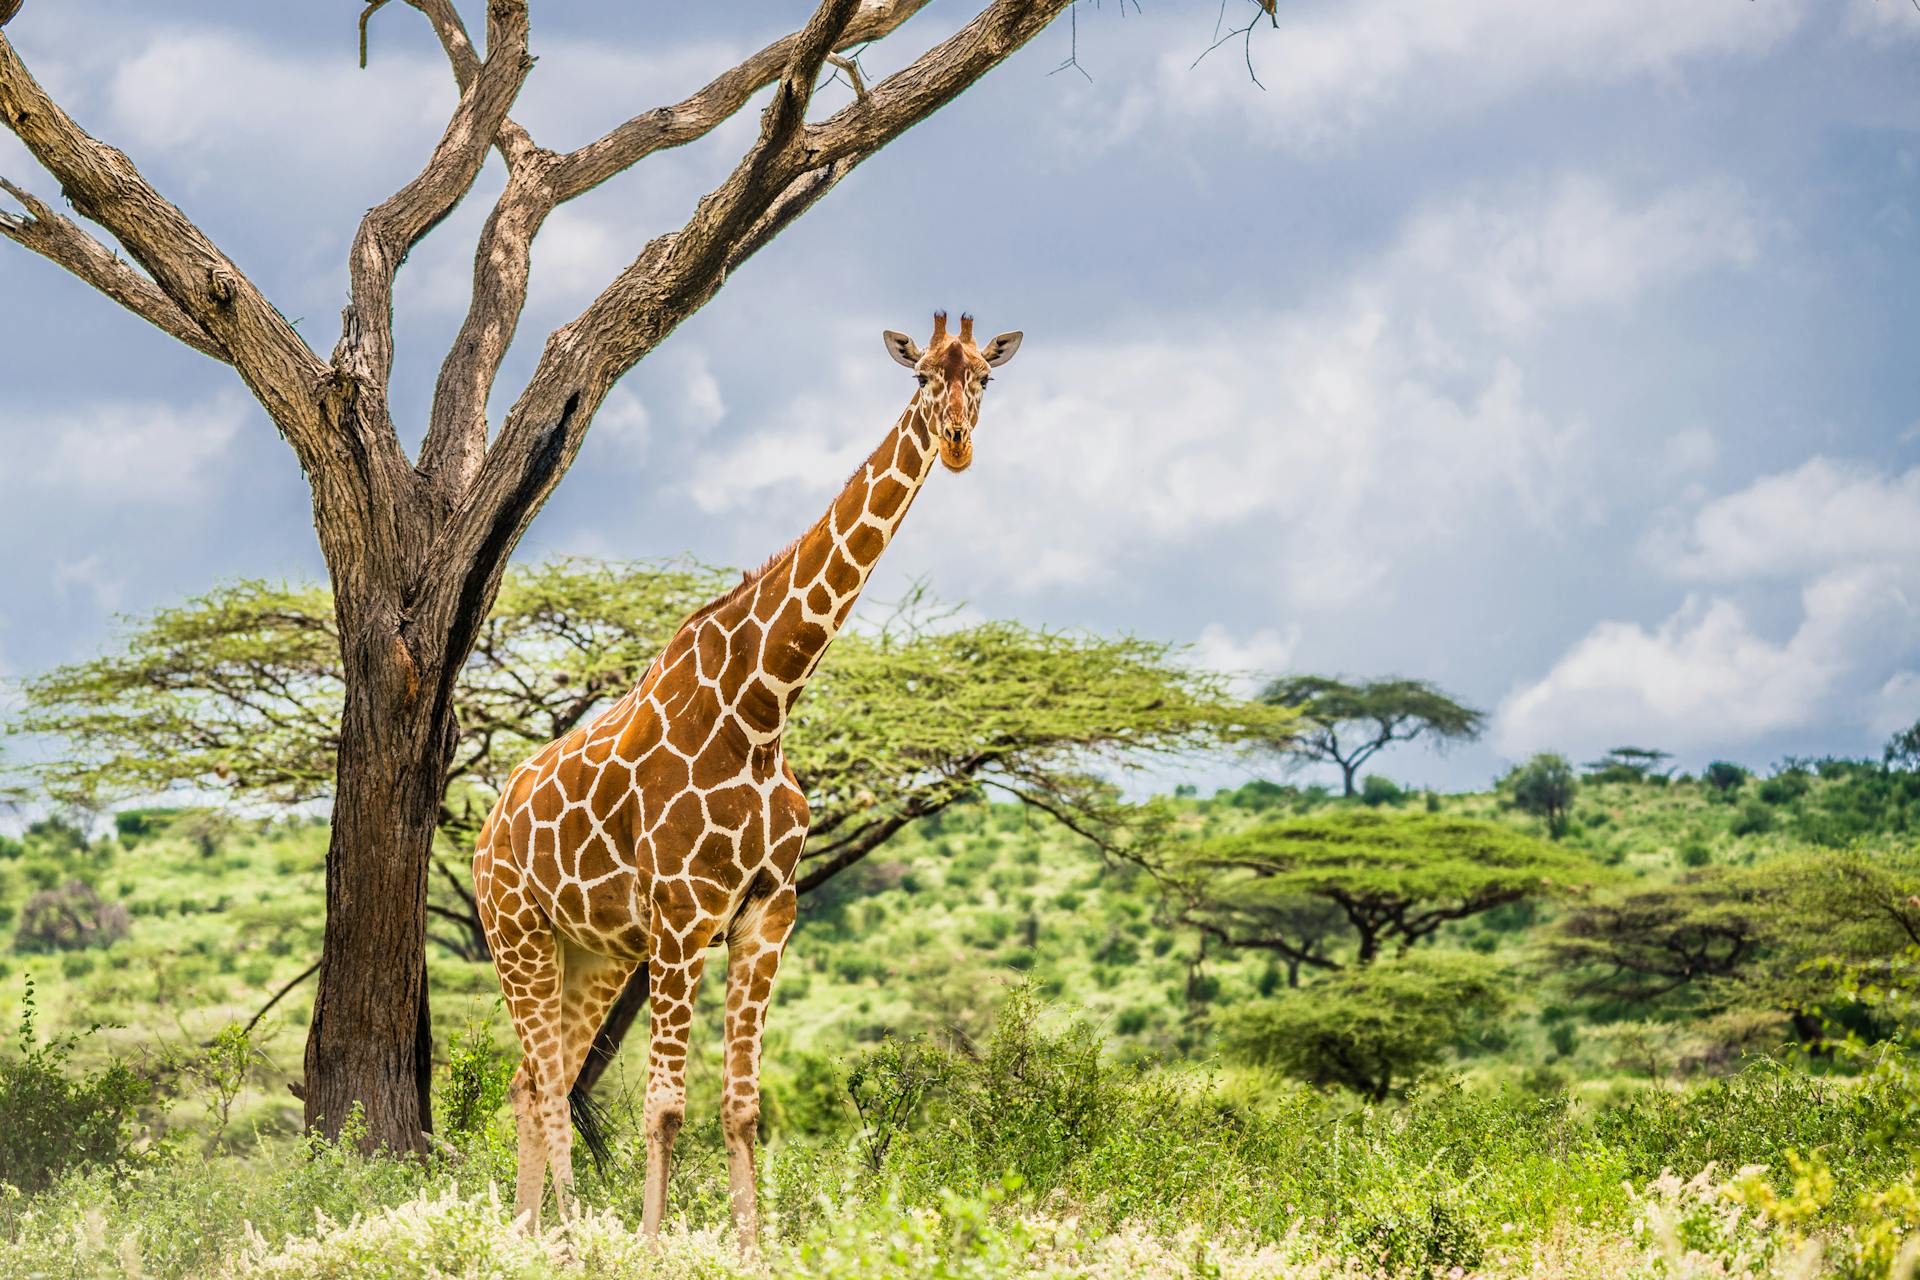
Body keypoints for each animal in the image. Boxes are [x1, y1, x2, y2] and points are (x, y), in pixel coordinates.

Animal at [468, 307, 1021, 1243]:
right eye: (919, 378)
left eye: (984, 377)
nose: (955, 443)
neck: (763, 706)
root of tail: (486, 827)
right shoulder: (685, 916)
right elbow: (664, 1107)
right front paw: (652, 1245)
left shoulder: (767, 913)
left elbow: (743, 1106)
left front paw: (751, 1243)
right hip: (518, 931)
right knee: (543, 1084)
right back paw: (565, 1236)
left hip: (593, 954)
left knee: (530, 1080)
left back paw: (535, 1233)